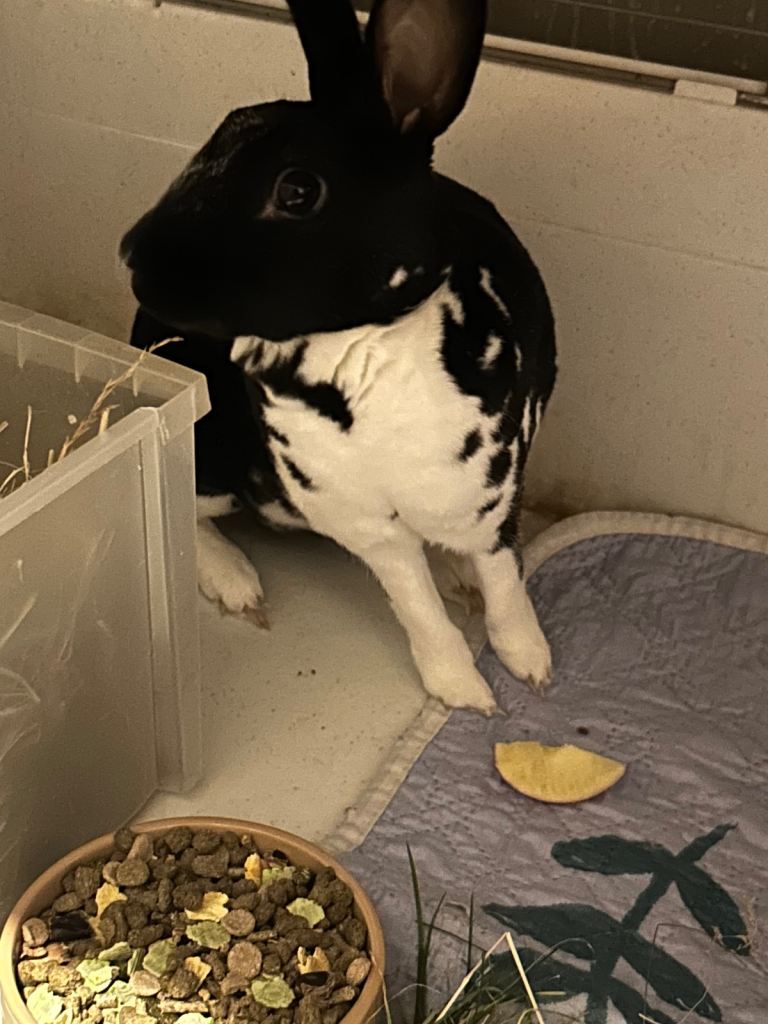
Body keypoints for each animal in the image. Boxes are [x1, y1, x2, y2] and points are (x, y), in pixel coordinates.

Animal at [120, 0, 557, 714]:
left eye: (298, 191)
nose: (132, 254)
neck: (365, 343)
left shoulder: (485, 499)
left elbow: (503, 580)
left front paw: (532, 664)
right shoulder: (367, 524)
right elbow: (417, 605)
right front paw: (467, 692)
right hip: (213, 461)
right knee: (185, 513)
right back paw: (237, 584)